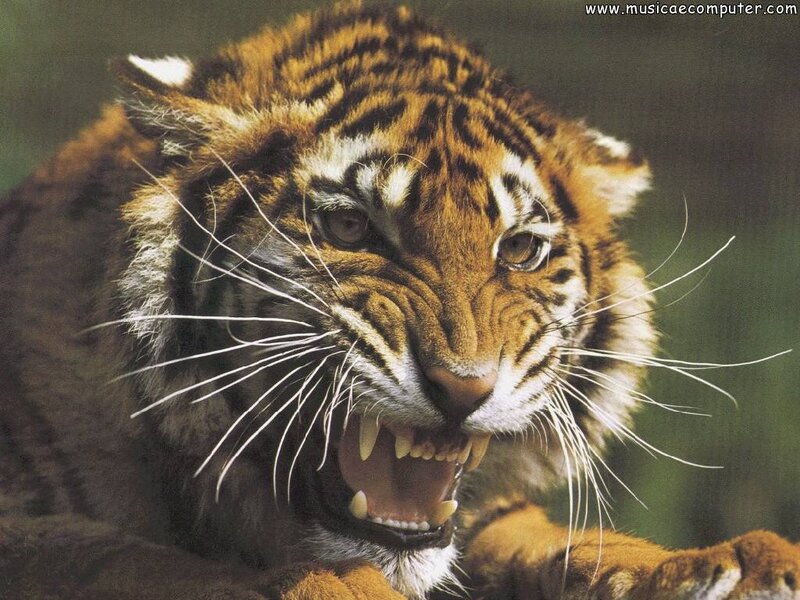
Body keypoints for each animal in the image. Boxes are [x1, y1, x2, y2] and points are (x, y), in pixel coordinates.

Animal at [0, 2, 797, 599]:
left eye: (519, 249)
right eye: (351, 226)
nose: (463, 389)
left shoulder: (485, 521)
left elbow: (565, 543)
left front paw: (735, 568)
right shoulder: (33, 527)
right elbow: (138, 560)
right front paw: (333, 583)